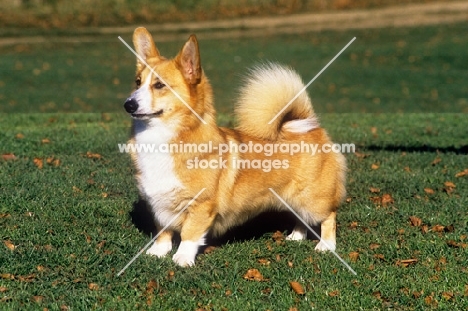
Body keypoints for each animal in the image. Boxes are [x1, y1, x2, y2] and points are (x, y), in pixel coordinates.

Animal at [122, 26, 346, 266]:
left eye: (159, 85)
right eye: (137, 82)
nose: (128, 104)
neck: (161, 137)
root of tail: (307, 125)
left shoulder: (201, 205)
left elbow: (190, 234)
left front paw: (182, 258)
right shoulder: (159, 203)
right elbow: (163, 231)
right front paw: (157, 252)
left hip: (311, 197)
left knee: (329, 215)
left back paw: (326, 246)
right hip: (292, 197)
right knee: (301, 218)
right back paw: (296, 236)